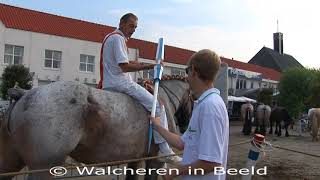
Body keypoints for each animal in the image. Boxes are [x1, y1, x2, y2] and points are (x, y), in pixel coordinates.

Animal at [0, 79, 190, 180]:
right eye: (193, 97)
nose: (185, 125)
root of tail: (24, 94)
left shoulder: (135, 160)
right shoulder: (155, 161)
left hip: (11, 161)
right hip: (44, 167)